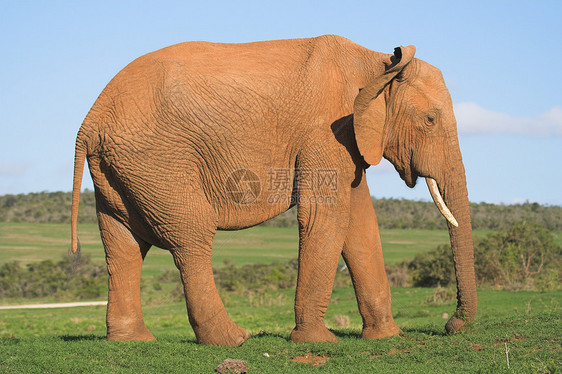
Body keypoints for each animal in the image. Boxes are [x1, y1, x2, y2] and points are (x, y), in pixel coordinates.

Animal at [69, 33, 472, 346]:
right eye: (430, 120)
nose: (452, 326)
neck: (378, 63)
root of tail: (89, 122)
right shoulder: (326, 129)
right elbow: (325, 215)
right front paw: (316, 341)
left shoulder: (349, 137)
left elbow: (360, 224)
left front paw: (388, 337)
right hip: (158, 161)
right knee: (190, 238)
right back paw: (233, 340)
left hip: (119, 170)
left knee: (122, 245)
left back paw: (133, 340)